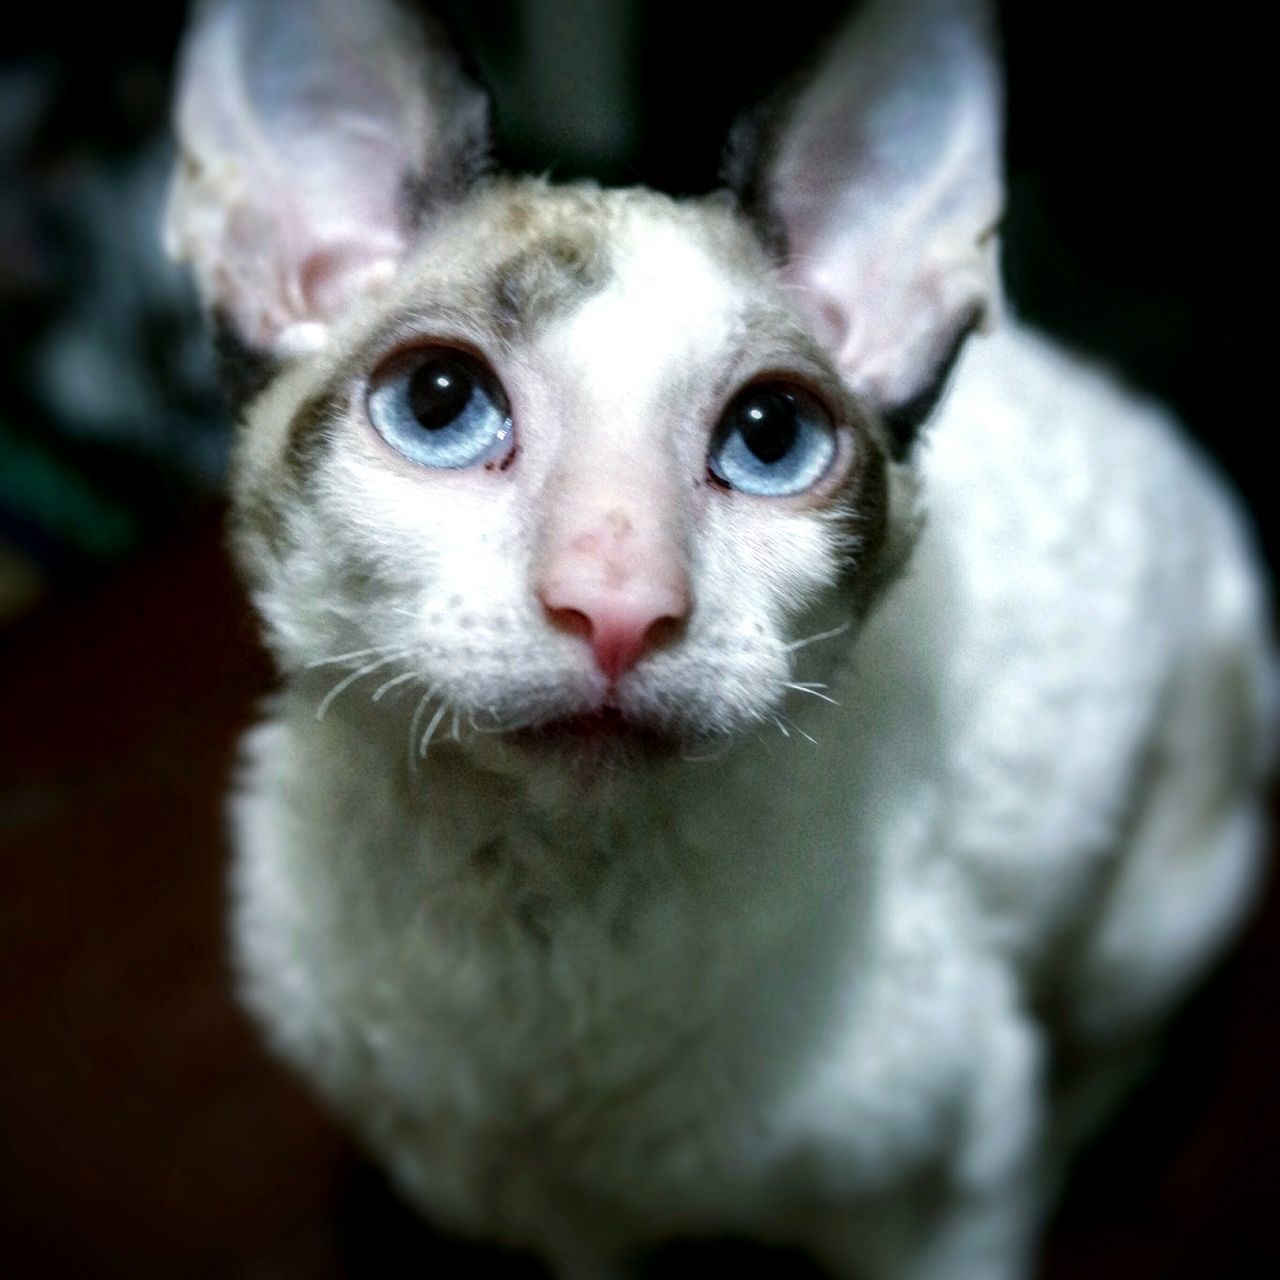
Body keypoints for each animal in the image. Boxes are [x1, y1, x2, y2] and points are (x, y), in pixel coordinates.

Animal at [165, 2, 1274, 1280]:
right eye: (438, 402)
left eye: (770, 434)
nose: (617, 602)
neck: (540, 938)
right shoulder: (527, 1205)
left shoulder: (954, 1183)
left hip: (1149, 907)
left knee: (1104, 1045)